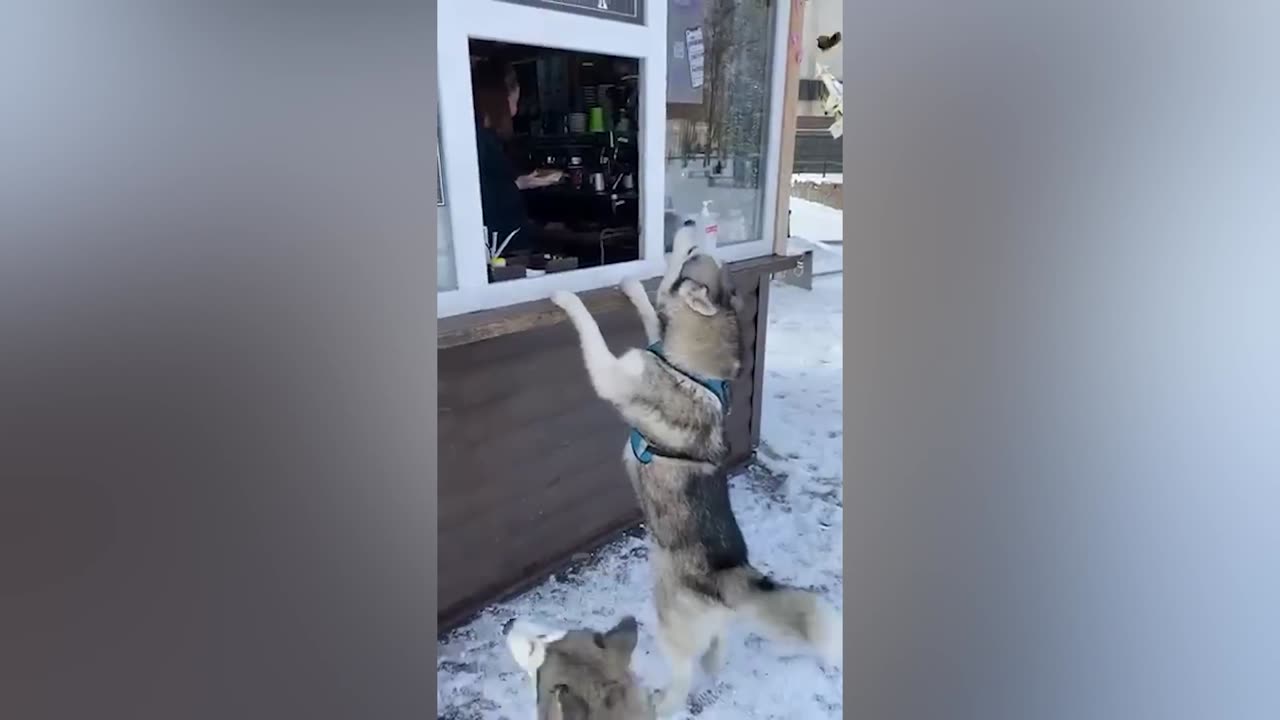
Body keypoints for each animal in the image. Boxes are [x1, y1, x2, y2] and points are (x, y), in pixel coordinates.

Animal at [550, 222, 839, 712]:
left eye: (689, 257)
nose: (689, 224)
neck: (694, 370)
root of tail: (731, 572)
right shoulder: (655, 347)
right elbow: (651, 315)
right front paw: (632, 286)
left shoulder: (616, 374)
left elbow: (590, 328)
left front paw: (568, 297)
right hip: (704, 623)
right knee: (717, 646)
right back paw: (713, 668)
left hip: (669, 621)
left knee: (683, 674)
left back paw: (664, 702)